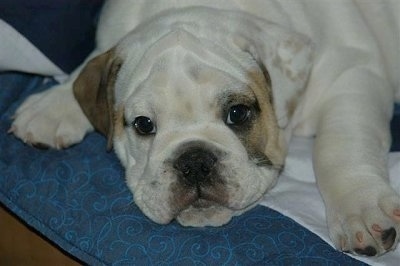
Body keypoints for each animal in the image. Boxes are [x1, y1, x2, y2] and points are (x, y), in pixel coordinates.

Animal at [10, 0, 400, 258]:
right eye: (143, 125)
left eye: (238, 114)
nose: (194, 161)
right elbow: (93, 61)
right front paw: (53, 105)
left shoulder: (353, 75)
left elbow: (340, 145)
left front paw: (361, 209)